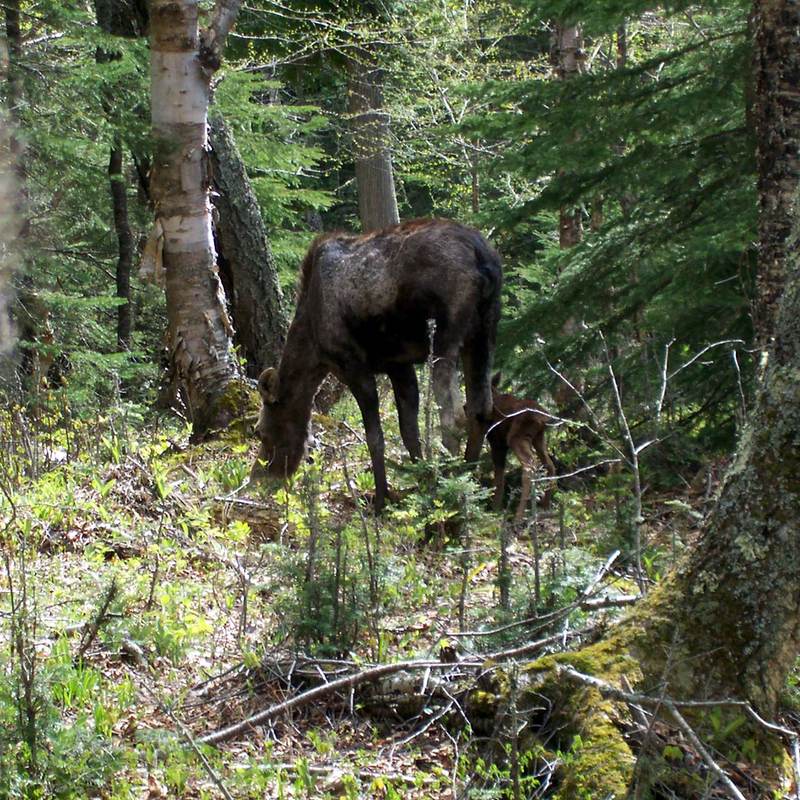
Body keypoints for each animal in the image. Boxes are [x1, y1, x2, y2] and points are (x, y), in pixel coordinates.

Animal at [253, 216, 500, 510]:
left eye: (260, 431)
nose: (261, 475)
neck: (314, 352)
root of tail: (483, 257)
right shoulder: (399, 365)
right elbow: (408, 431)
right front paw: (420, 481)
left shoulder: (353, 365)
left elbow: (375, 437)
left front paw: (381, 498)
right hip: (483, 332)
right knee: (480, 407)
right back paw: (472, 478)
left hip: (446, 337)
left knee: (452, 416)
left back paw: (453, 483)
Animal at [488, 376, 556, 524]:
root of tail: (544, 417)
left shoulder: (497, 443)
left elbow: (499, 475)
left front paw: (495, 508)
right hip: (538, 437)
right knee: (549, 464)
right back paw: (545, 504)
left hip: (516, 437)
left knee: (530, 467)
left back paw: (518, 516)